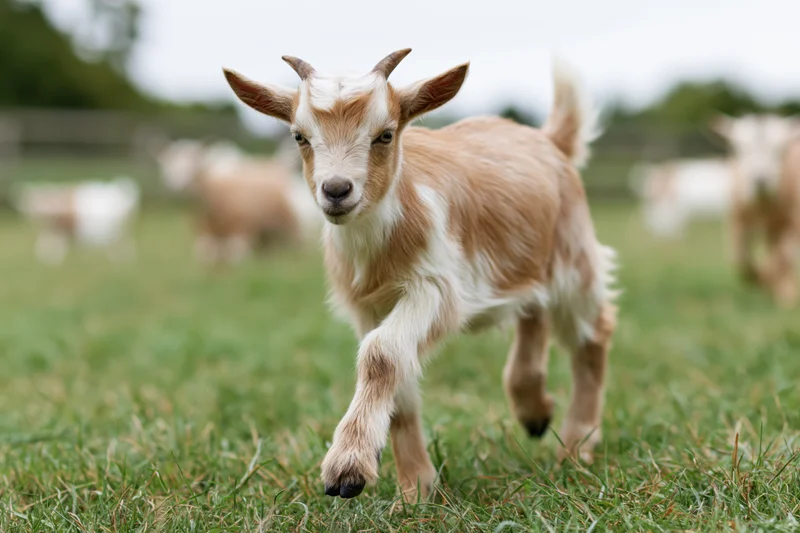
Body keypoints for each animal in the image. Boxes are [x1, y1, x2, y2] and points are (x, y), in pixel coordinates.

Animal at [157, 139, 320, 265]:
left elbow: (234, 256)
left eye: (193, 166)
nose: (178, 188)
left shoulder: (241, 236)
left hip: (293, 227)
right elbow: (206, 256)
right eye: (169, 167)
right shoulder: (204, 237)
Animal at [223, 49, 617, 502]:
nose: (337, 190)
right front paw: (415, 489)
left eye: (385, 135)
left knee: (592, 333)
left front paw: (347, 469)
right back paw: (533, 411)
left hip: (574, 259)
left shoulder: (436, 288)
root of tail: (550, 141)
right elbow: (400, 380)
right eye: (299, 137)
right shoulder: (368, 306)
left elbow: (381, 355)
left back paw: (577, 445)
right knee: (533, 313)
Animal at [713, 114, 800, 306]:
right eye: (739, 148)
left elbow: (782, 256)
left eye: (779, 150)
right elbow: (741, 260)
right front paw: (768, 283)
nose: (760, 181)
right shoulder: (736, 219)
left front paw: (775, 286)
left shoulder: (793, 222)